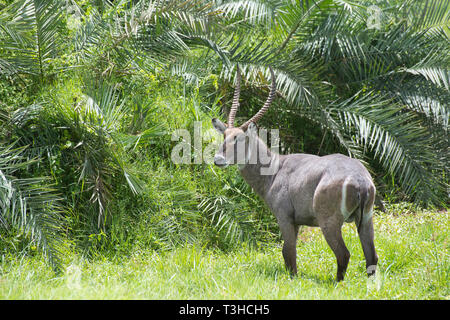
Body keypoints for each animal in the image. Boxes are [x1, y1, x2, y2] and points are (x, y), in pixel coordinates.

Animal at [213, 66, 378, 282]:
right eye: (224, 135)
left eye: (239, 138)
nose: (218, 159)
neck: (275, 169)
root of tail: (360, 179)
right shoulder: (298, 222)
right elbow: (288, 251)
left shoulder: (284, 218)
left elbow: (288, 251)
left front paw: (293, 278)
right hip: (366, 219)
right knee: (371, 257)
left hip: (329, 222)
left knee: (344, 254)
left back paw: (337, 283)